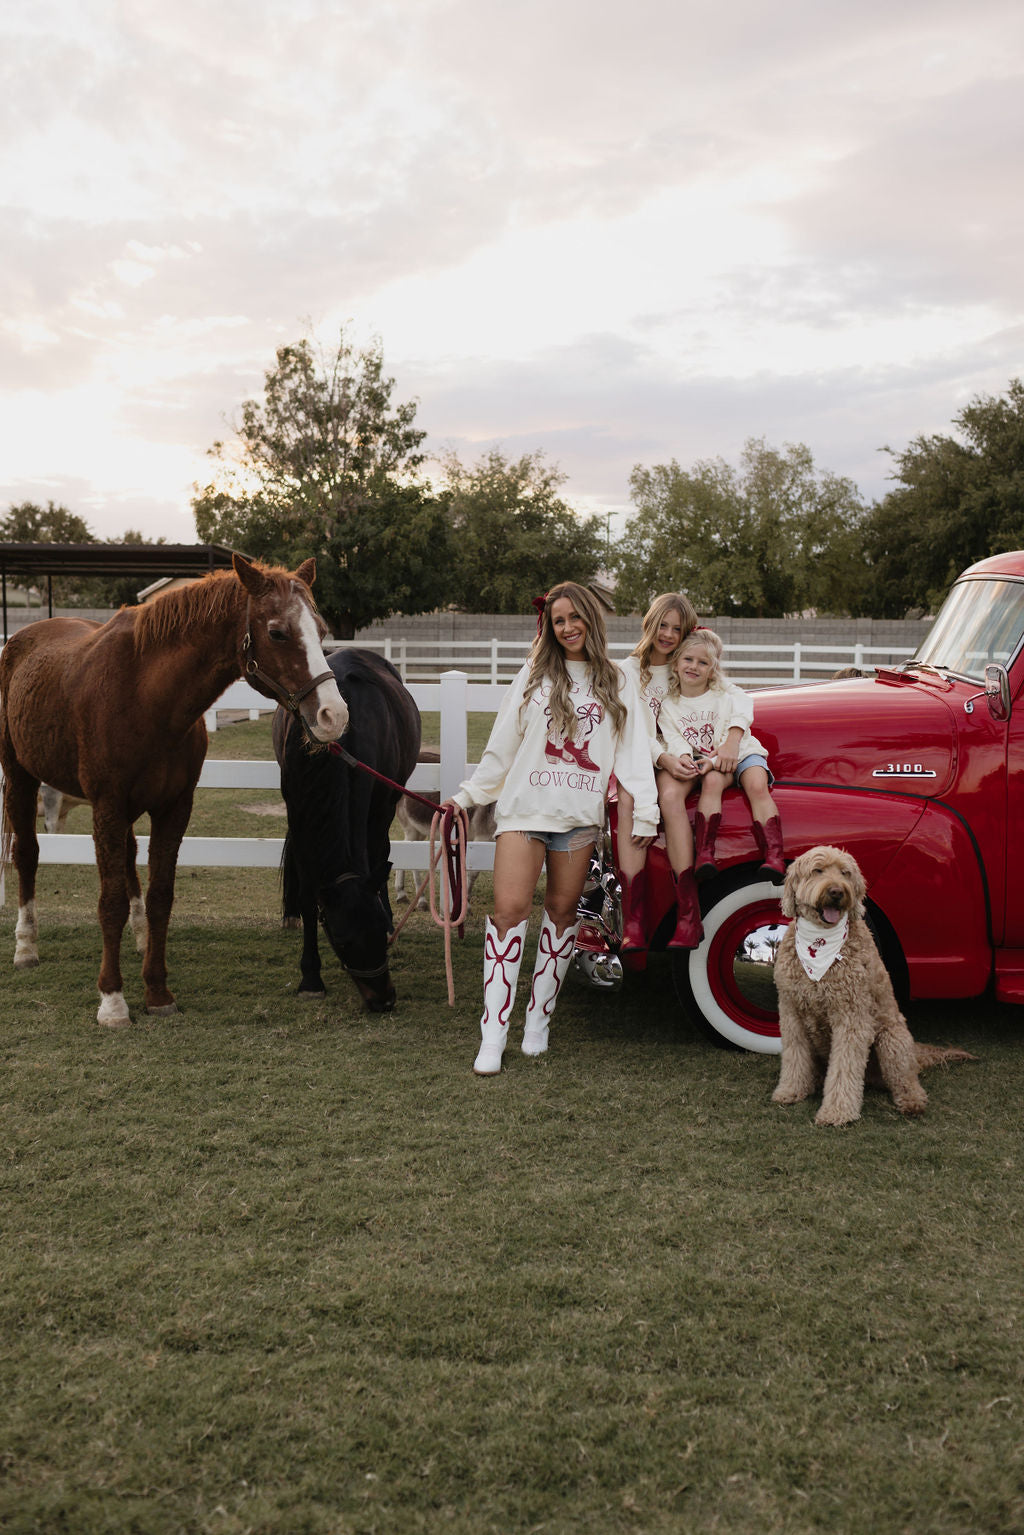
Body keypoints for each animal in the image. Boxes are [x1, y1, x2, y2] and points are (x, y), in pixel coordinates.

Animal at [0, 555, 348, 1031]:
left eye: (323, 628)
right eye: (278, 631)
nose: (334, 715)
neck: (144, 695)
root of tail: (20, 640)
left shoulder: (173, 807)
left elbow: (160, 895)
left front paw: (157, 991)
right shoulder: (107, 806)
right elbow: (109, 901)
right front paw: (113, 1001)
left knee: (129, 860)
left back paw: (141, 938)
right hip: (20, 778)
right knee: (28, 855)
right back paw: (26, 947)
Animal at [271, 644, 420, 1006]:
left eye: (380, 935)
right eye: (342, 940)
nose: (384, 1000)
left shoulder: (378, 806)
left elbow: (376, 858)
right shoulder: (298, 812)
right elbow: (308, 894)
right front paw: (311, 976)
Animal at [773, 841, 976, 1129]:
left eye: (845, 873)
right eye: (817, 870)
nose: (837, 891)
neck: (820, 947)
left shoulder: (851, 1016)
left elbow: (844, 1068)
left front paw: (837, 1112)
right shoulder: (791, 1012)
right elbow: (794, 1057)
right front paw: (791, 1090)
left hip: (892, 1042)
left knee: (906, 1080)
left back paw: (912, 1102)